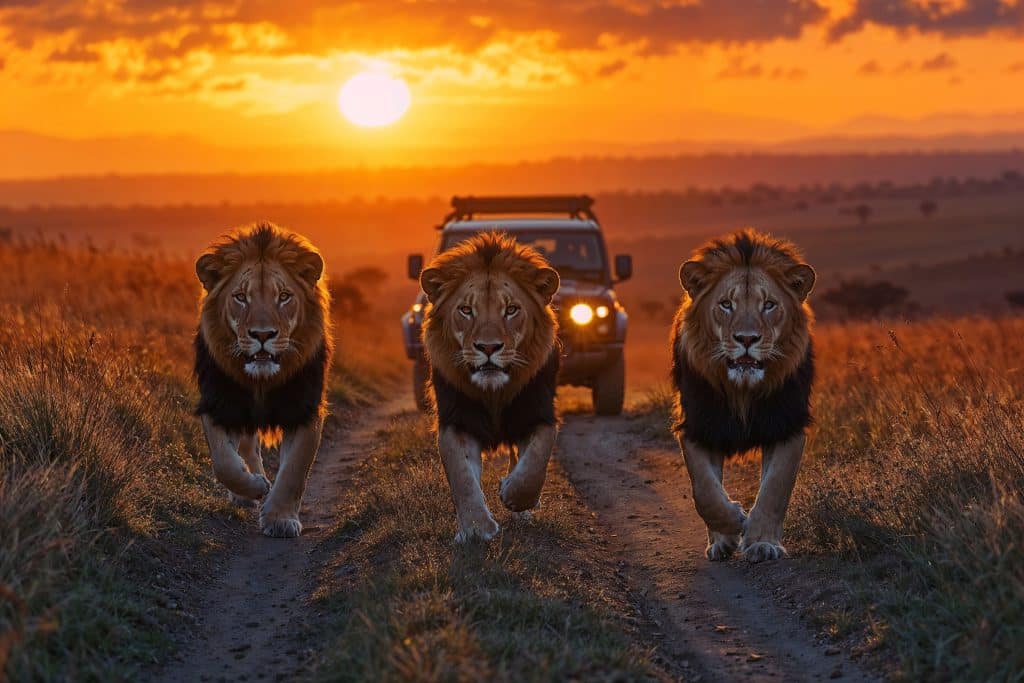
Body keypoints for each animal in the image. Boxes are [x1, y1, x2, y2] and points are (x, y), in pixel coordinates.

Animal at [194, 221, 332, 538]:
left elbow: (295, 469)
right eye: (240, 297)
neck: (261, 383)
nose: (262, 335)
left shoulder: (305, 408)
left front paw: (280, 519)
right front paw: (254, 486)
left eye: (284, 296)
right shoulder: (219, 403)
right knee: (246, 447)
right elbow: (223, 462)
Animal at [420, 232, 561, 542]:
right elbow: (462, 476)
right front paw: (475, 529)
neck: (493, 393)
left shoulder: (538, 412)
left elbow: (536, 461)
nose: (487, 347)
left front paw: (514, 497)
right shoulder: (457, 421)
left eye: (511, 310)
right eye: (465, 310)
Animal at [671, 229, 815, 563]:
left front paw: (762, 542)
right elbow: (704, 491)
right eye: (726, 304)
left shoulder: (788, 424)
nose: (747, 339)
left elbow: (775, 488)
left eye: (769, 305)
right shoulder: (698, 426)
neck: (743, 391)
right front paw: (732, 523)